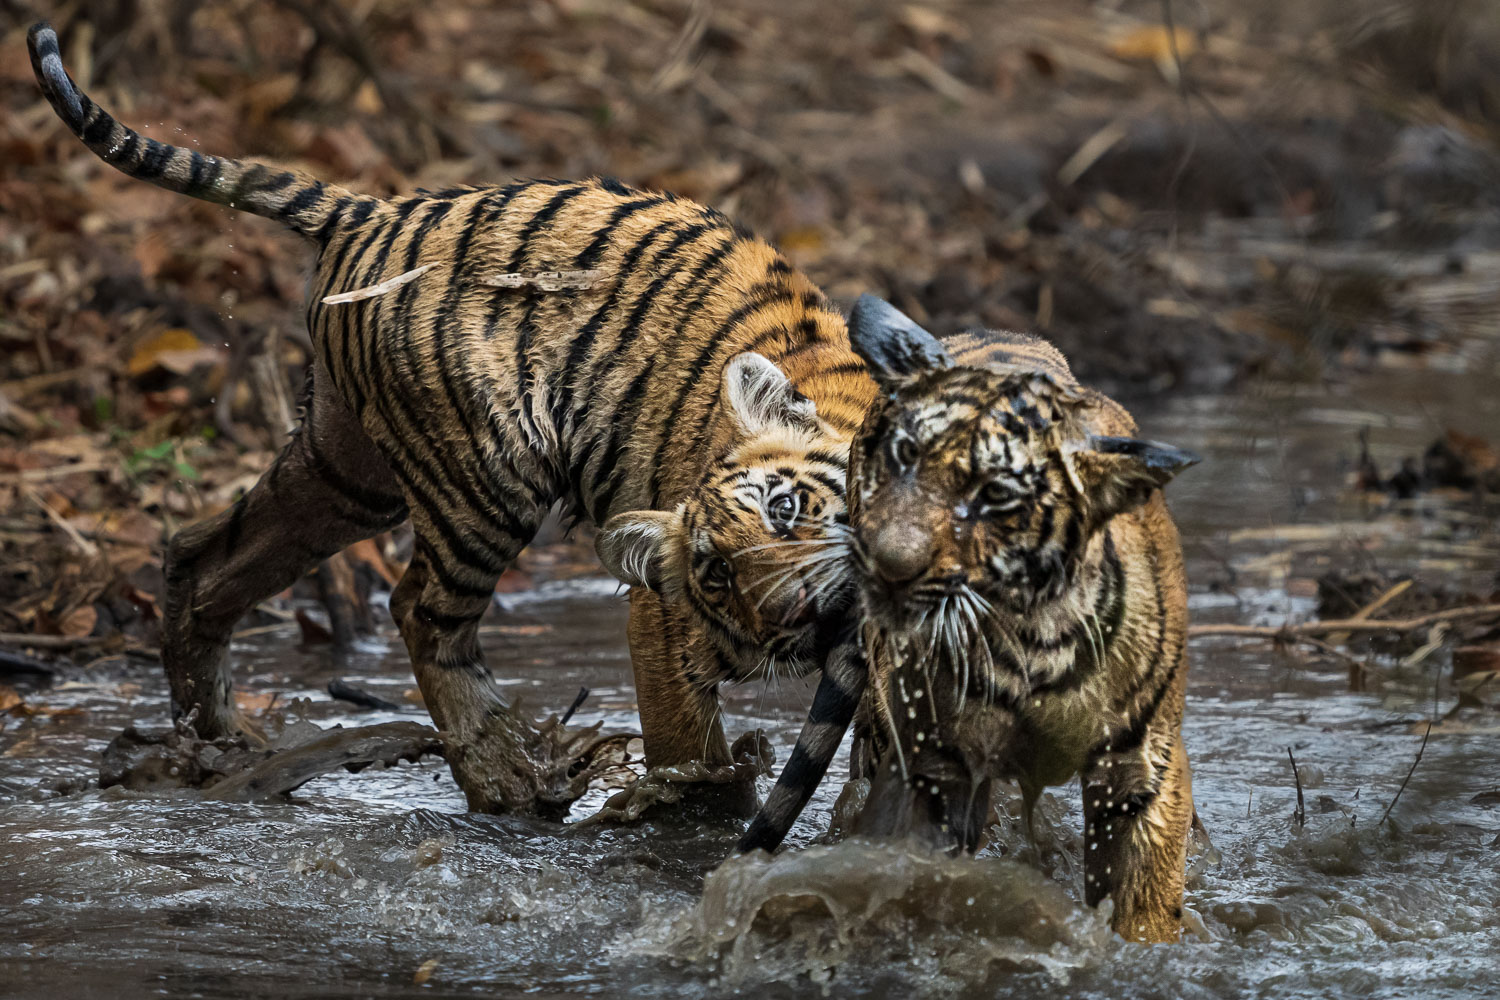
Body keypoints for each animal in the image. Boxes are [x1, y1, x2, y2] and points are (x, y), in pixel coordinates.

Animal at [28, 22, 874, 817]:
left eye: (787, 509)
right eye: (714, 573)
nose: (794, 610)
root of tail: (372, 208)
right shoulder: (664, 618)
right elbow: (691, 761)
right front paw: (703, 818)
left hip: (347, 469)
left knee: (205, 554)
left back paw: (214, 740)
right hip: (484, 475)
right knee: (422, 613)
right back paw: (504, 775)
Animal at [743, 295, 1200, 943]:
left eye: (997, 494)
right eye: (904, 456)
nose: (887, 563)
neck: (1034, 636)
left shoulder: (1136, 773)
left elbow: (1142, 903)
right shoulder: (933, 763)